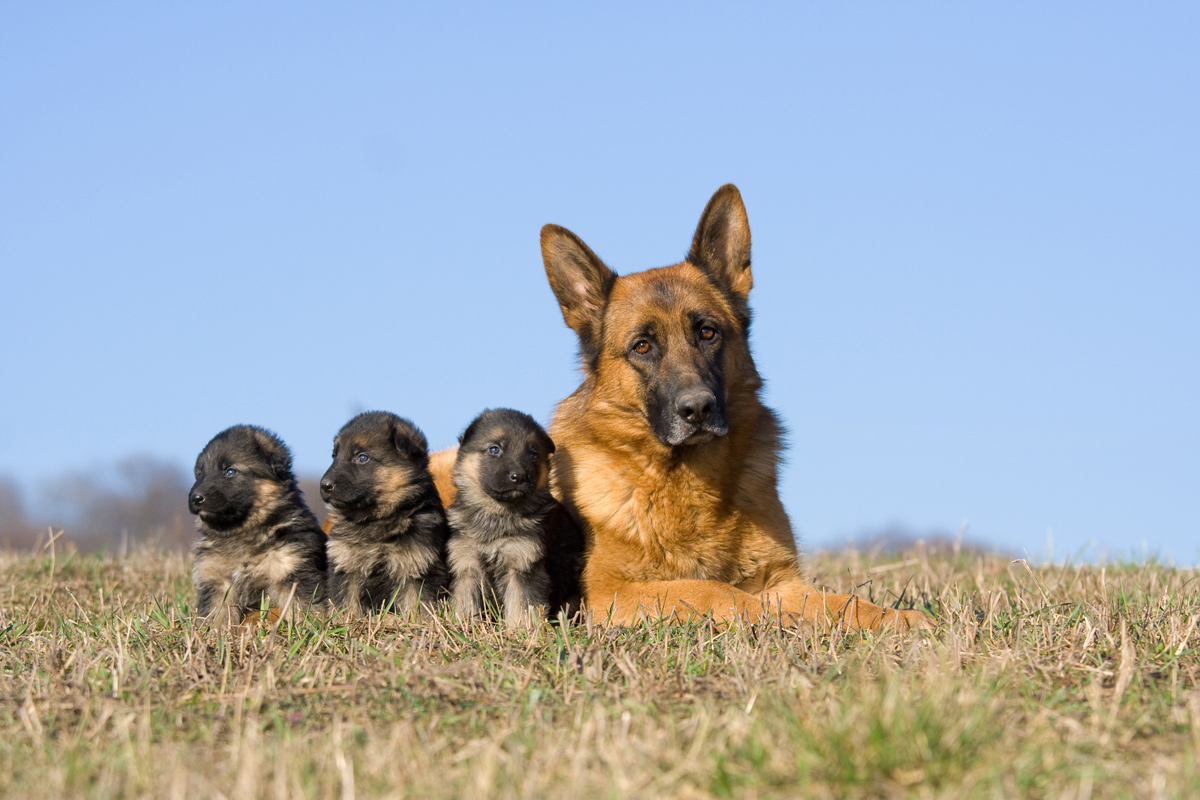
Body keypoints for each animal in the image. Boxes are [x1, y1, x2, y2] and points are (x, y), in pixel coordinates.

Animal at [188, 429, 328, 628]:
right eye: (200, 474)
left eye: (230, 471)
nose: (195, 498)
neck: (243, 530)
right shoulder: (216, 580)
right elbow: (216, 614)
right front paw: (212, 633)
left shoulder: (291, 571)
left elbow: (303, 607)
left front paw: (311, 629)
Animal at [319, 412, 451, 618]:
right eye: (335, 455)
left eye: (362, 457)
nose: (324, 485)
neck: (376, 518)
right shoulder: (346, 564)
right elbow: (346, 602)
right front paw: (344, 621)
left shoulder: (416, 566)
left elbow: (417, 604)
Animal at [446, 410, 585, 628]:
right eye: (494, 449)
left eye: (533, 455)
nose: (518, 477)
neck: (497, 513)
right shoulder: (467, 565)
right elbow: (465, 601)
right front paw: (462, 626)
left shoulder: (523, 564)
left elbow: (522, 604)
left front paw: (520, 630)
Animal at [544, 183, 936, 633]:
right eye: (642, 346)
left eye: (707, 332)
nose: (698, 408)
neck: (686, 482)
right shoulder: (609, 595)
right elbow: (713, 591)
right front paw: (771, 616)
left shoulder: (784, 580)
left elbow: (840, 602)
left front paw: (897, 618)